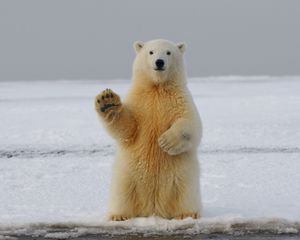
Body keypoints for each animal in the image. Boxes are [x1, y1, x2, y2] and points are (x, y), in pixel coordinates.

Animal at [95, 39, 203, 221]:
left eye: (168, 52)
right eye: (151, 52)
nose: (159, 62)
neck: (157, 87)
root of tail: (153, 209)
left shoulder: (180, 100)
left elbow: (191, 124)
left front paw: (166, 142)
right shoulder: (139, 102)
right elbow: (128, 128)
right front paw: (107, 102)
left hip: (184, 176)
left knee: (186, 193)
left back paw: (187, 214)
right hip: (127, 175)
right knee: (121, 193)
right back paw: (119, 215)